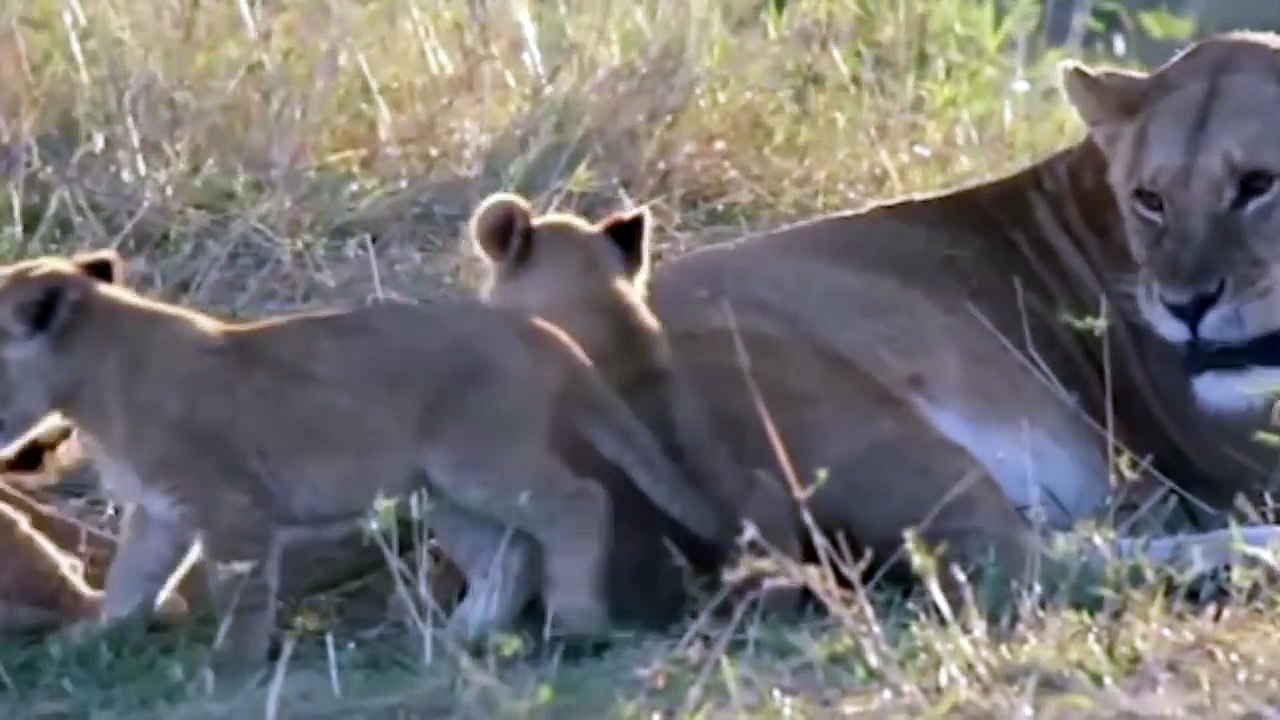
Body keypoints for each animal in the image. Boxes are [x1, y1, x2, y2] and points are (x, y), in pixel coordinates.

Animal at [0, 249, 735, 689]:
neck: (90, 377)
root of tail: (536, 330)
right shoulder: (158, 513)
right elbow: (129, 584)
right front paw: (90, 643)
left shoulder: (232, 507)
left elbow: (241, 596)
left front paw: (231, 672)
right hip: (442, 489)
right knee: (509, 550)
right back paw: (461, 637)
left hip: (481, 461)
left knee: (579, 503)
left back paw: (577, 624)